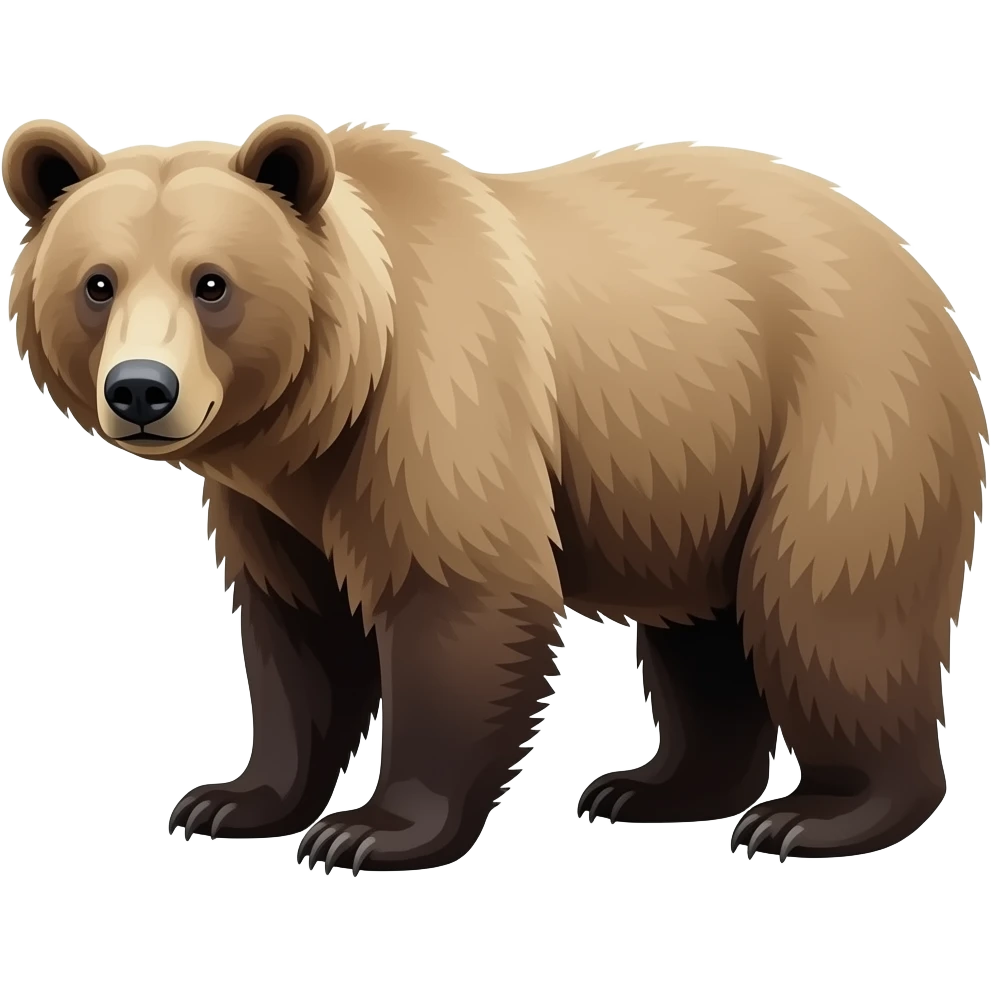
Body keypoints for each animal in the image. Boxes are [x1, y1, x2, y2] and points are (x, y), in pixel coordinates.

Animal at [4, 115, 985, 872]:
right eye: (97, 283)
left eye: (212, 283)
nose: (141, 388)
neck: (326, 404)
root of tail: (908, 258)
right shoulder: (274, 504)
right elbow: (297, 632)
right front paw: (233, 798)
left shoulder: (441, 401)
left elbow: (459, 599)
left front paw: (371, 830)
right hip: (699, 464)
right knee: (704, 626)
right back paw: (655, 785)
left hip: (844, 411)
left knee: (826, 605)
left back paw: (817, 814)